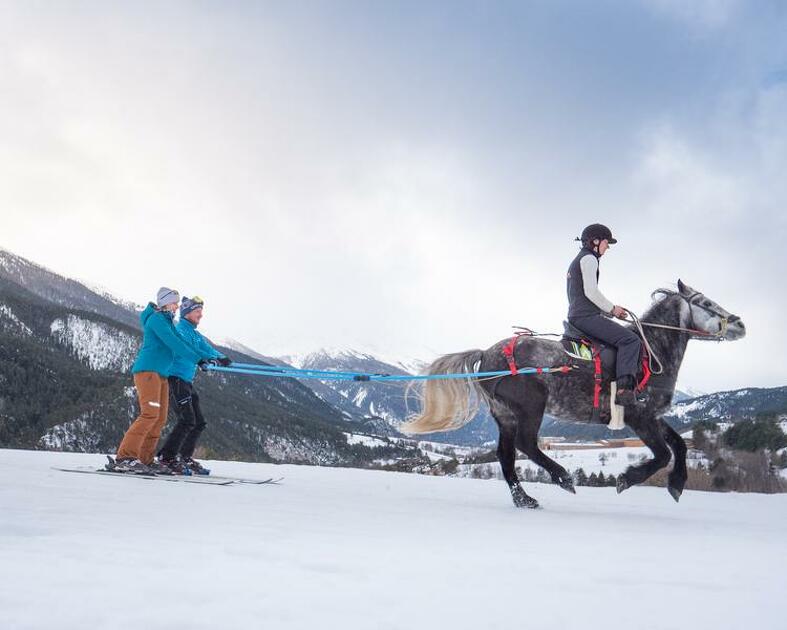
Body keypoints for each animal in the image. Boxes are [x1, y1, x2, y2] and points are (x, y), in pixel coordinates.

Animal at [404, 282, 748, 508]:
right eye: (706, 302)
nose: (740, 324)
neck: (650, 351)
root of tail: (487, 355)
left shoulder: (652, 415)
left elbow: (679, 444)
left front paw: (677, 483)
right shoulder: (639, 417)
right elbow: (663, 454)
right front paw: (628, 478)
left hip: (505, 414)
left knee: (506, 455)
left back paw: (524, 498)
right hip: (531, 406)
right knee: (526, 445)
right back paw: (562, 478)